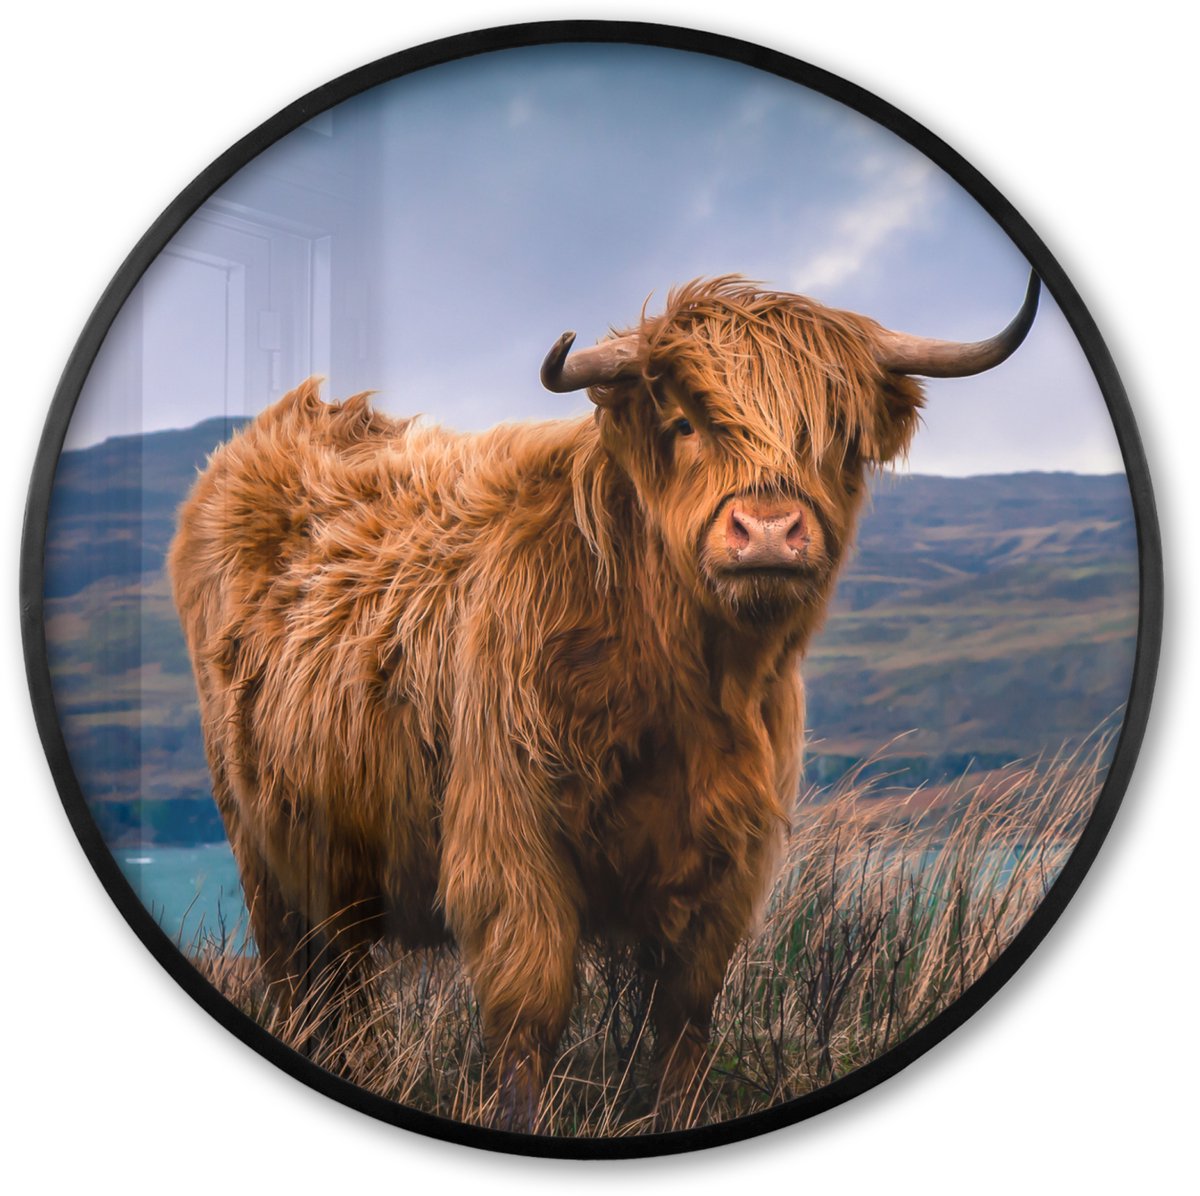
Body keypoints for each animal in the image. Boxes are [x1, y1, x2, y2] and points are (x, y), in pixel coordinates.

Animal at [168, 273, 1039, 1131]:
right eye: (684, 423)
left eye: (836, 439)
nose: (766, 531)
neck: (685, 686)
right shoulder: (510, 842)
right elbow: (529, 1014)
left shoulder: (728, 862)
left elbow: (685, 1016)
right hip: (266, 847)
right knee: (307, 980)